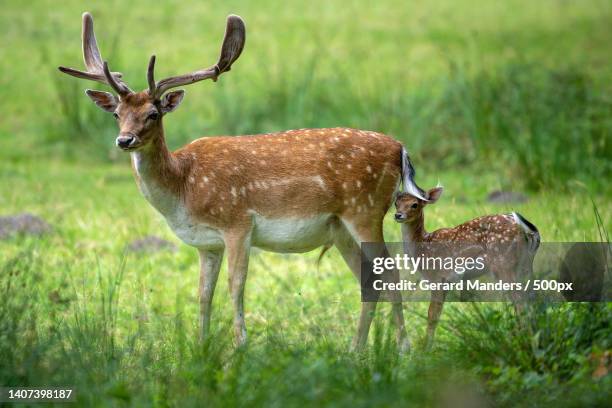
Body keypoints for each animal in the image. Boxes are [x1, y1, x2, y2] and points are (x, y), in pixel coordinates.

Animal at [59, 11, 428, 350]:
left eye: (153, 114)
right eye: (117, 114)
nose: (125, 140)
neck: (184, 187)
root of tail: (400, 147)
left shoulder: (237, 222)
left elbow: (235, 286)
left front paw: (240, 346)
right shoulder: (206, 243)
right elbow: (203, 294)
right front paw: (202, 348)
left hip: (365, 209)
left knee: (390, 273)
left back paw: (403, 349)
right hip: (340, 229)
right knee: (369, 281)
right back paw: (356, 350)